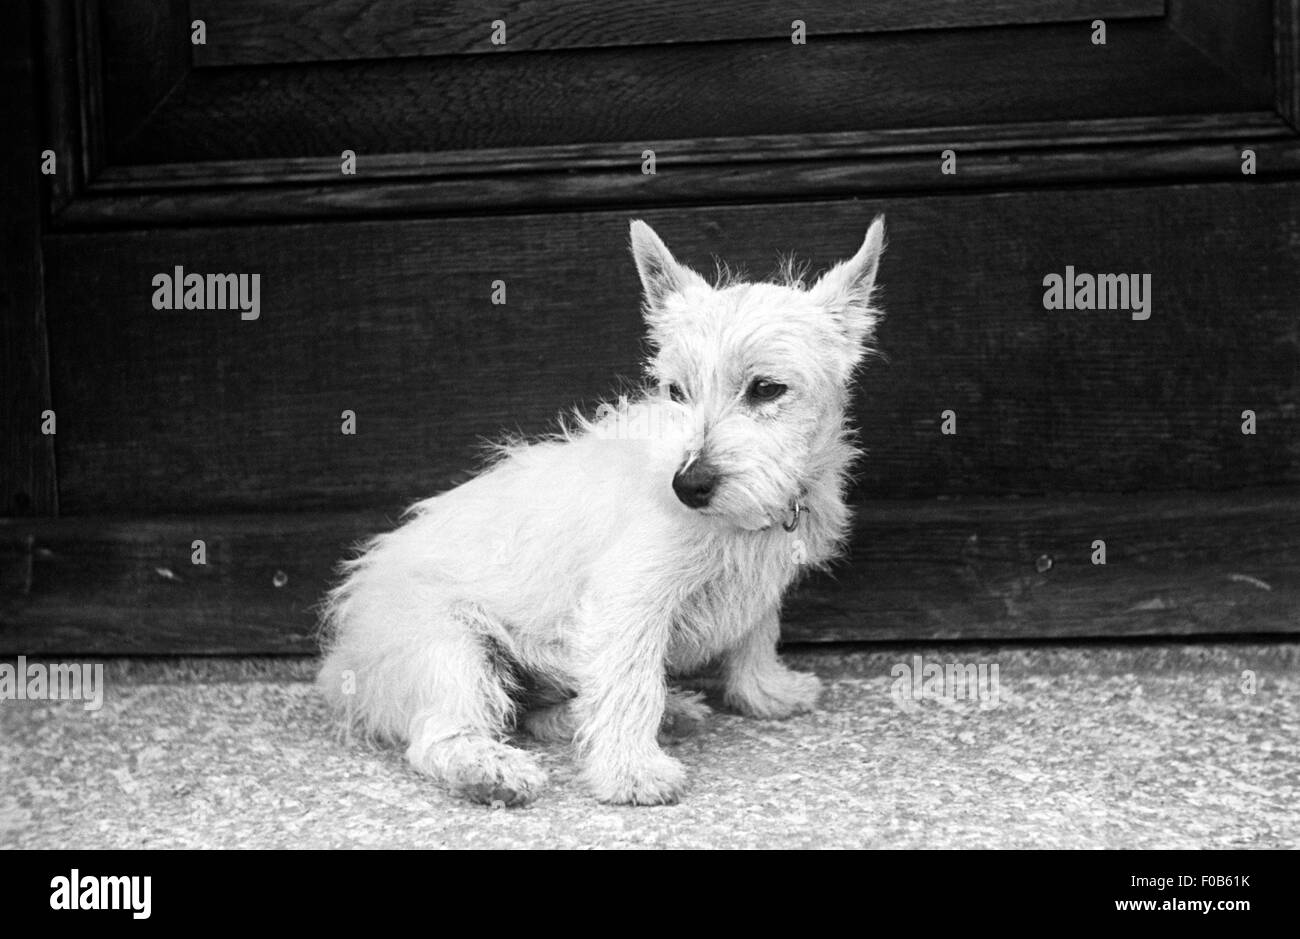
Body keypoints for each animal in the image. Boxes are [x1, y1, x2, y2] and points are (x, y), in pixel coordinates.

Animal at [317, 215, 883, 801]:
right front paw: (631, 771)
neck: (742, 520)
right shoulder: (630, 600)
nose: (687, 486)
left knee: (538, 713)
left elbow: (756, 638)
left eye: (766, 389)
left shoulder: (759, 587)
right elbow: (630, 684)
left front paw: (767, 693)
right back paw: (491, 770)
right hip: (452, 648)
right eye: (676, 391)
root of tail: (344, 661)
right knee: (440, 736)